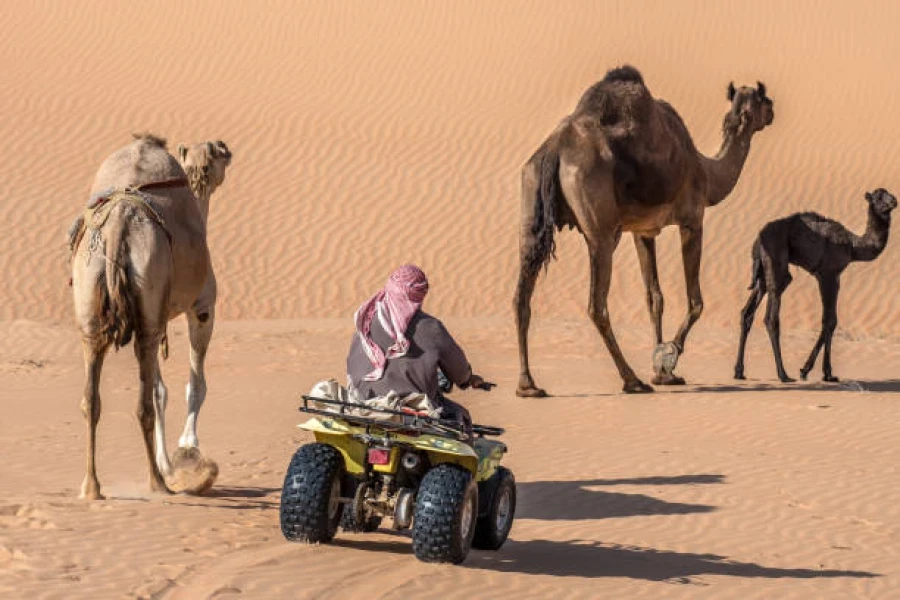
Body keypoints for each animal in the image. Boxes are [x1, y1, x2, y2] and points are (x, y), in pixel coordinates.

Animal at [70, 134, 232, 499]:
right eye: (218, 153)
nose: (227, 148)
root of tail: (118, 224)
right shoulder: (203, 307)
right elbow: (194, 385)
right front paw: (188, 452)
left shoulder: (159, 316)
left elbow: (161, 390)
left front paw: (171, 461)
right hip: (149, 303)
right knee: (143, 402)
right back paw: (157, 483)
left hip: (92, 305)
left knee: (91, 399)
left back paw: (92, 487)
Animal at [514, 66, 774, 396]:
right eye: (764, 98)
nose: (773, 109)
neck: (707, 171)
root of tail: (555, 150)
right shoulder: (693, 220)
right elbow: (696, 301)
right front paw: (669, 358)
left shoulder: (643, 231)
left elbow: (654, 298)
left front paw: (662, 371)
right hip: (600, 230)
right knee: (596, 305)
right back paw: (631, 380)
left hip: (530, 205)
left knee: (521, 297)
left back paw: (528, 385)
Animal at [734, 188, 896, 383]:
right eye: (878, 197)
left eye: (889, 194)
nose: (894, 201)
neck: (853, 246)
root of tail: (757, 240)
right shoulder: (828, 275)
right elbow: (830, 321)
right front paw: (818, 371)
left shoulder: (834, 277)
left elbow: (830, 321)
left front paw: (816, 372)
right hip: (775, 262)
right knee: (771, 317)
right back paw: (783, 374)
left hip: (761, 273)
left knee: (747, 313)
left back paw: (739, 371)